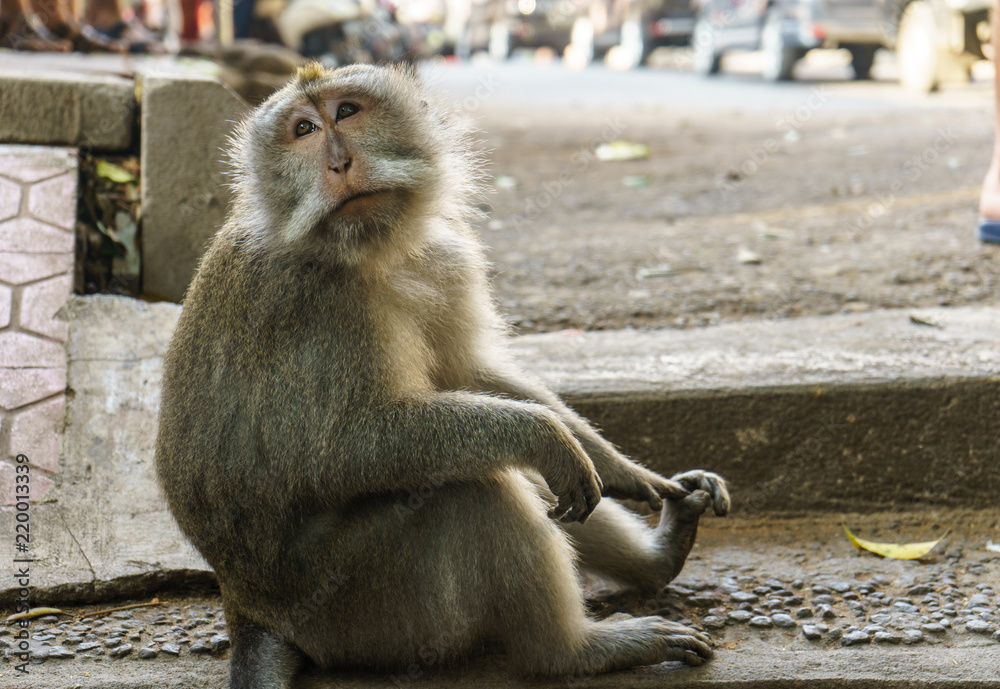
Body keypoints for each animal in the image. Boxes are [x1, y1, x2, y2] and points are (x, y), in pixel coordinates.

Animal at [155, 62, 730, 689]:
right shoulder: (314, 302)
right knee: (475, 488)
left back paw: (659, 556)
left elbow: (470, 372)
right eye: (303, 130)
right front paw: (542, 435)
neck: (373, 250)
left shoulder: (445, 258)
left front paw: (620, 465)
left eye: (347, 112)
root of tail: (248, 610)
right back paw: (574, 652)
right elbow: (344, 447)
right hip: (363, 608)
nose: (338, 162)